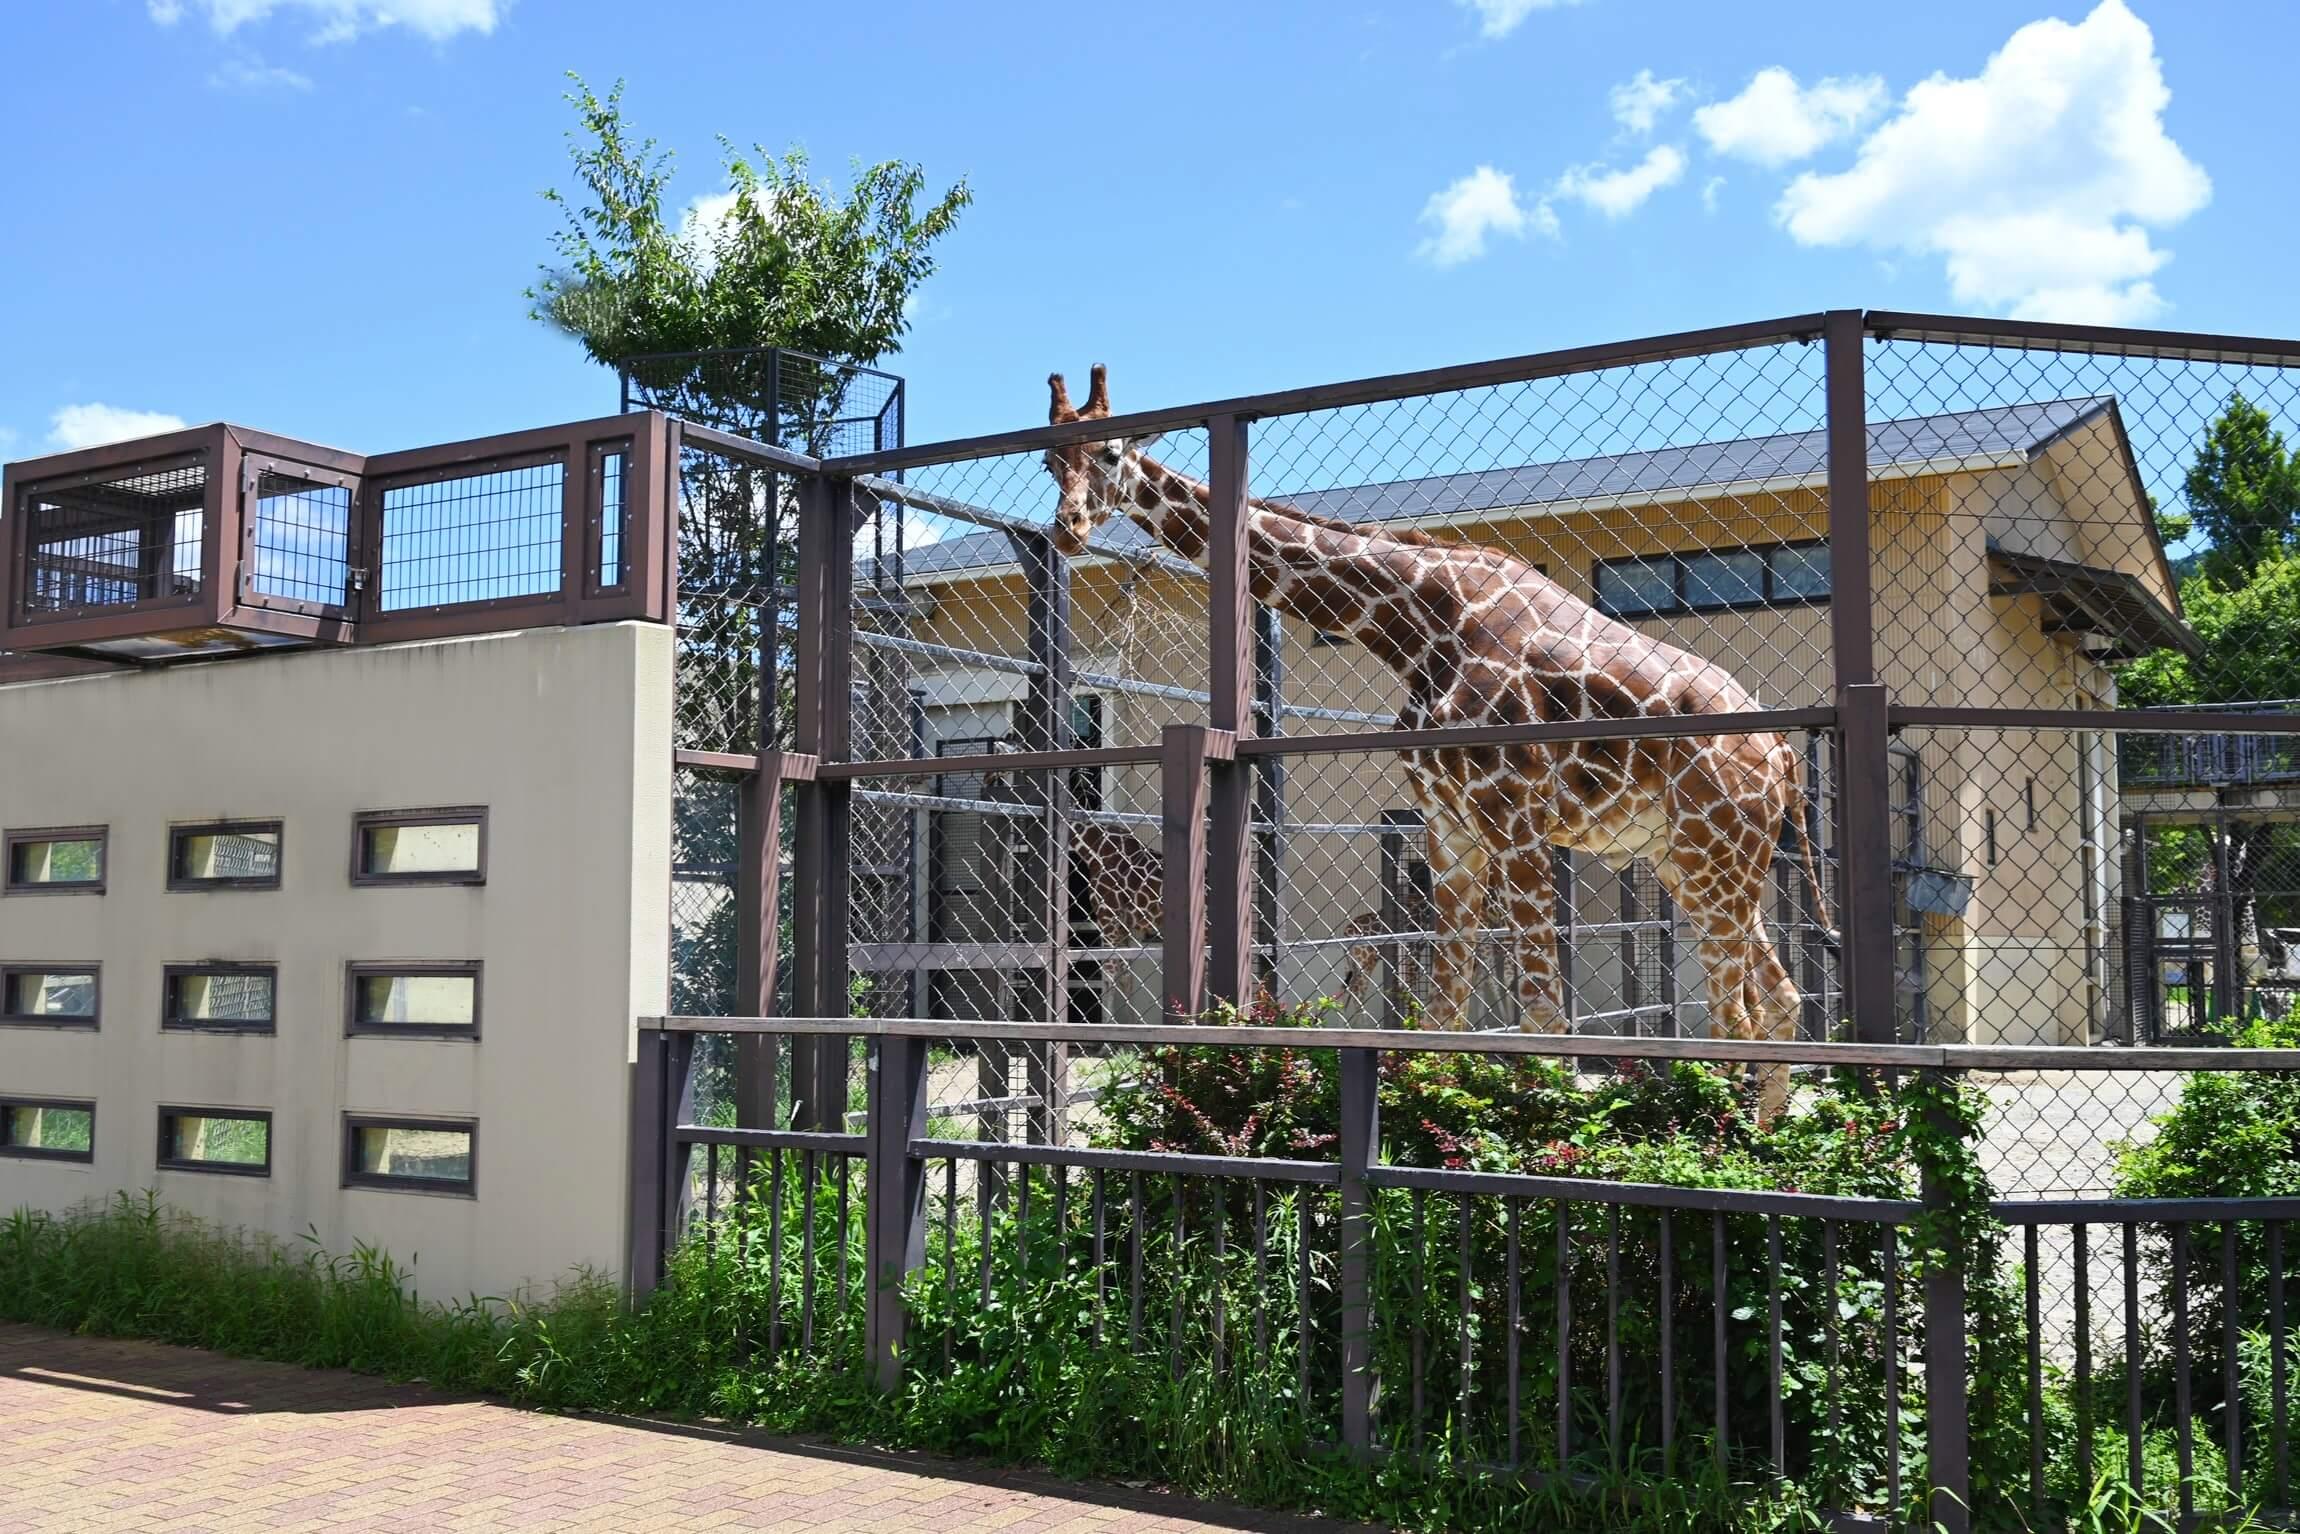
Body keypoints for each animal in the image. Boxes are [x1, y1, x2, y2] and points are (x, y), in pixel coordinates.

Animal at [1044, 365, 1830, 1122]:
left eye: (1111, 453)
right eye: (1052, 461)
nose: (1068, 529)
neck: (1418, 624)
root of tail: (1782, 753)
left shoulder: (1514, 819)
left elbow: (1543, 1017)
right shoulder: (1451, 827)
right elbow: (1442, 1014)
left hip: (1713, 852)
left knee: (1734, 1016)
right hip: (1695, 859)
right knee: (1778, 999)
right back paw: (1766, 1142)